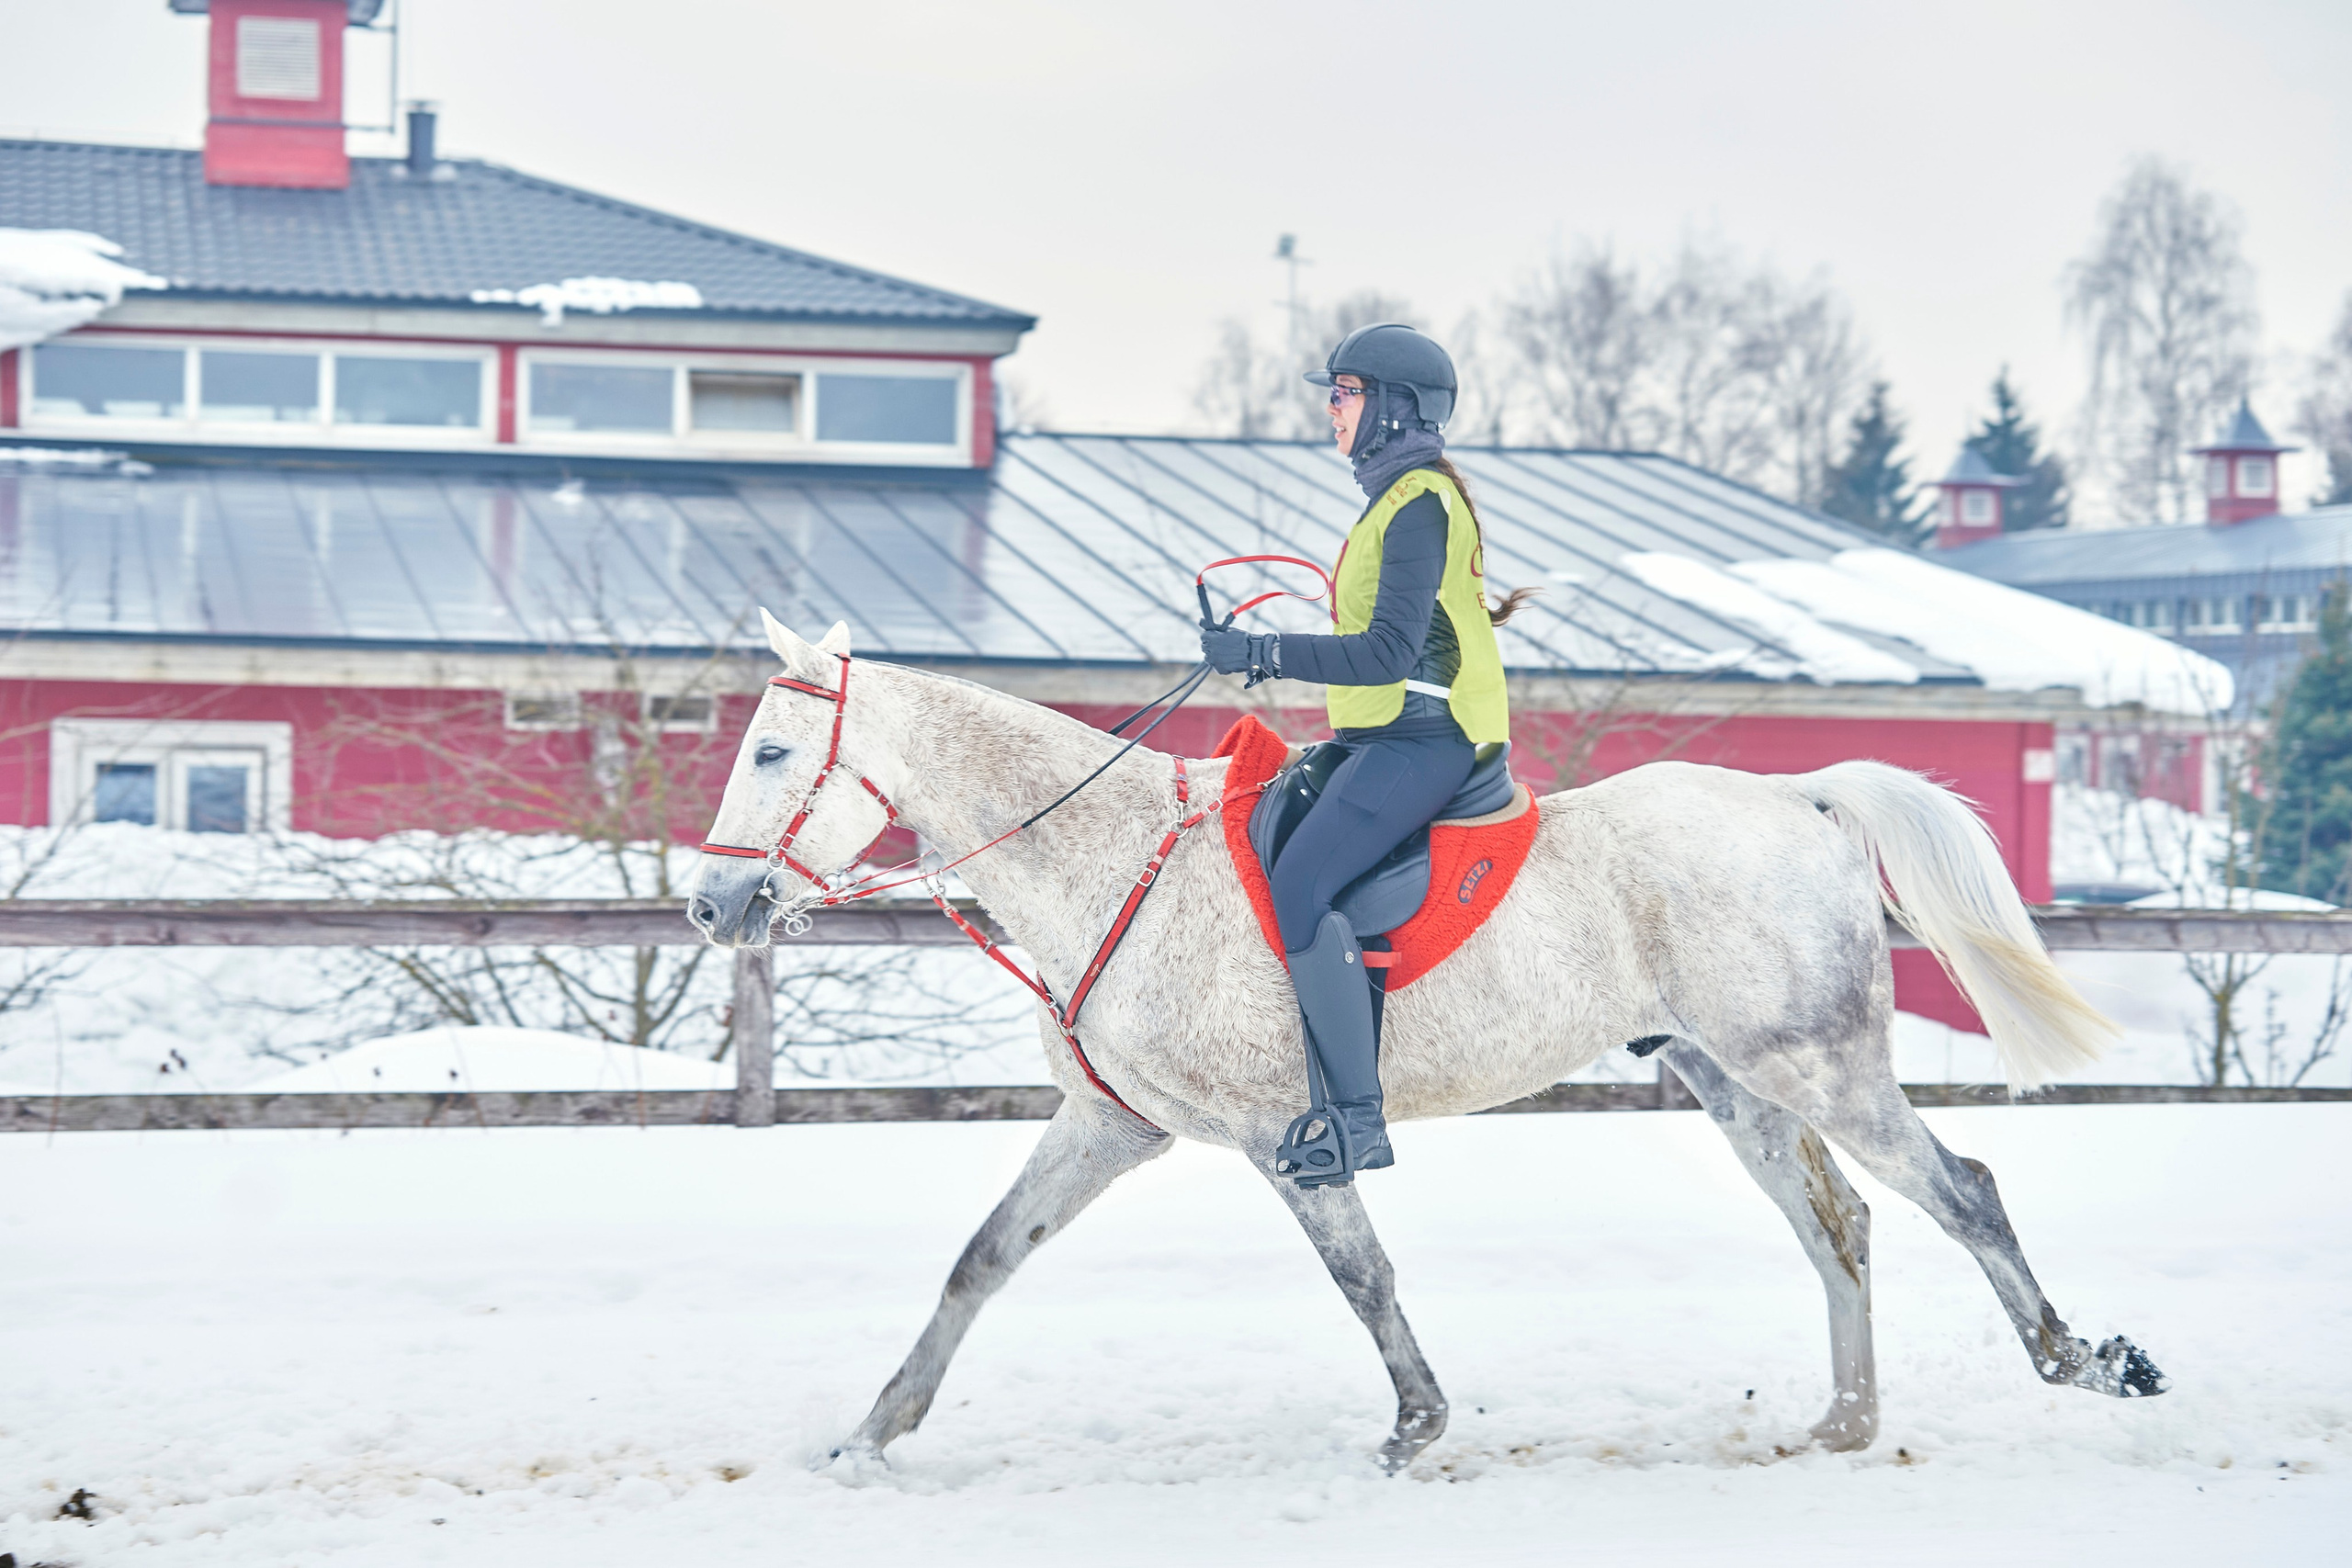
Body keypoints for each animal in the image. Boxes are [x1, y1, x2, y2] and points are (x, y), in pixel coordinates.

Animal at [688, 611, 2167, 1474]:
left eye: (770, 752)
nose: (712, 906)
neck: (1115, 858)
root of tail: (1801, 798)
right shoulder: (1110, 1124)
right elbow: (981, 1260)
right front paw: (875, 1433)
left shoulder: (1284, 1139)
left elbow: (1366, 1279)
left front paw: (1415, 1427)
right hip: (1737, 1080)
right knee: (1840, 1224)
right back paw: (1847, 1424)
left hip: (1822, 1067)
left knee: (1961, 1192)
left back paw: (2084, 1359)